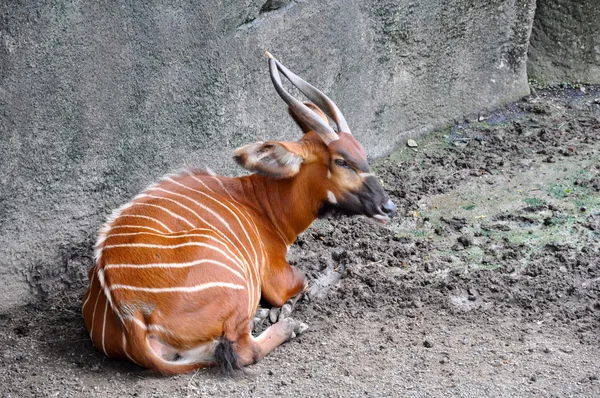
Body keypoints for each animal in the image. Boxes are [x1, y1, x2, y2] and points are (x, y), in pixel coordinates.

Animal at [82, 52, 396, 374]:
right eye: (341, 161)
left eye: (361, 152)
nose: (388, 207)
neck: (258, 202)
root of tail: (131, 316)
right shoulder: (276, 277)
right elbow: (303, 279)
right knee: (245, 348)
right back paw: (287, 324)